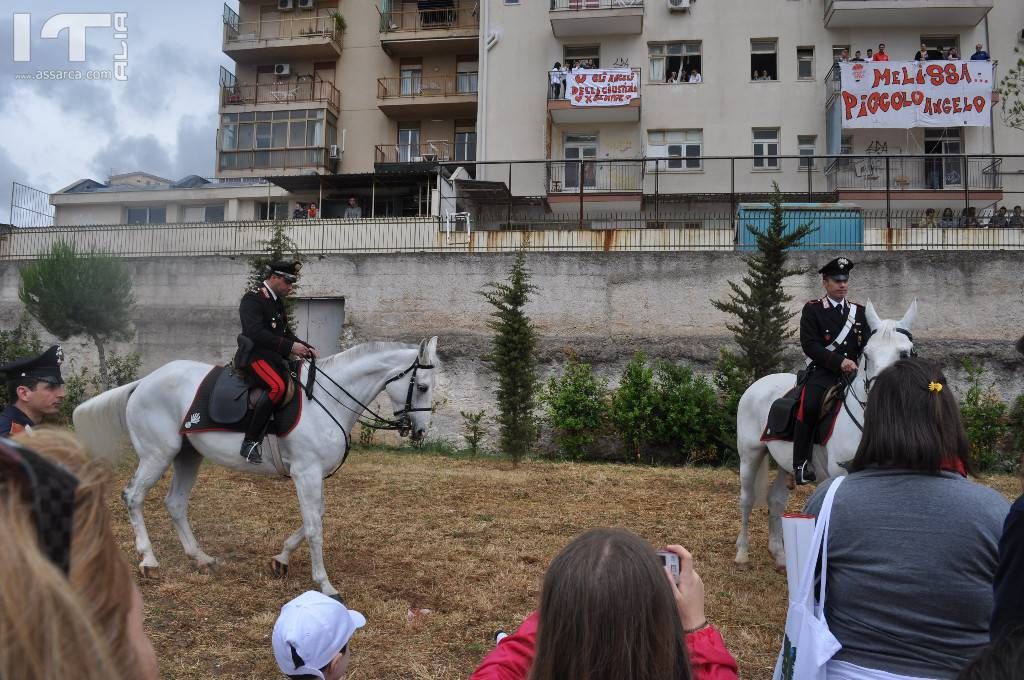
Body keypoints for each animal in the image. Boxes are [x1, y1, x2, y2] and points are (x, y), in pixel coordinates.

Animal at [71, 337, 440, 593]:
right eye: (421, 386)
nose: (420, 432)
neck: (326, 400)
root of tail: (143, 383)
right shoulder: (306, 473)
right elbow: (314, 527)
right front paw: (324, 583)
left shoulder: (315, 476)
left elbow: (315, 518)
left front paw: (281, 560)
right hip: (156, 455)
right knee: (133, 497)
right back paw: (149, 560)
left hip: (187, 456)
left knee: (174, 503)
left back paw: (200, 558)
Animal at [733, 301, 917, 569]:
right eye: (867, 355)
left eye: (904, 354)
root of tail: (758, 384)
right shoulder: (840, 474)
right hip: (750, 455)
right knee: (746, 499)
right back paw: (742, 553)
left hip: (786, 462)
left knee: (775, 501)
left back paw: (781, 557)